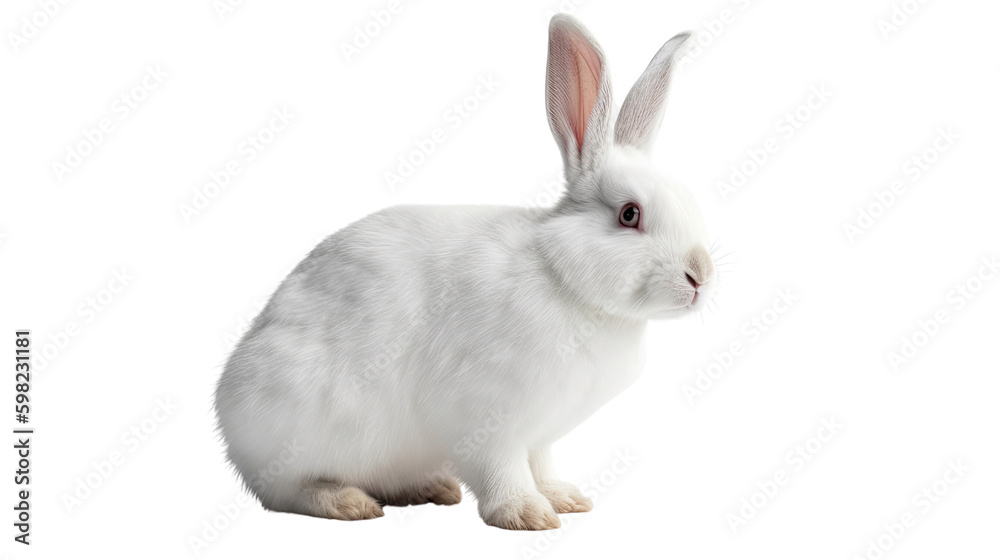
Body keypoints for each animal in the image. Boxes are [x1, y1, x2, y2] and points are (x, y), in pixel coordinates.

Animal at [214, 14, 715, 531]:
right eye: (629, 214)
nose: (701, 275)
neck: (565, 282)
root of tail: (228, 417)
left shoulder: (540, 433)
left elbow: (541, 464)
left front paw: (564, 498)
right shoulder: (487, 417)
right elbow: (502, 469)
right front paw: (526, 514)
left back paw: (430, 487)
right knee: (285, 490)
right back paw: (347, 502)